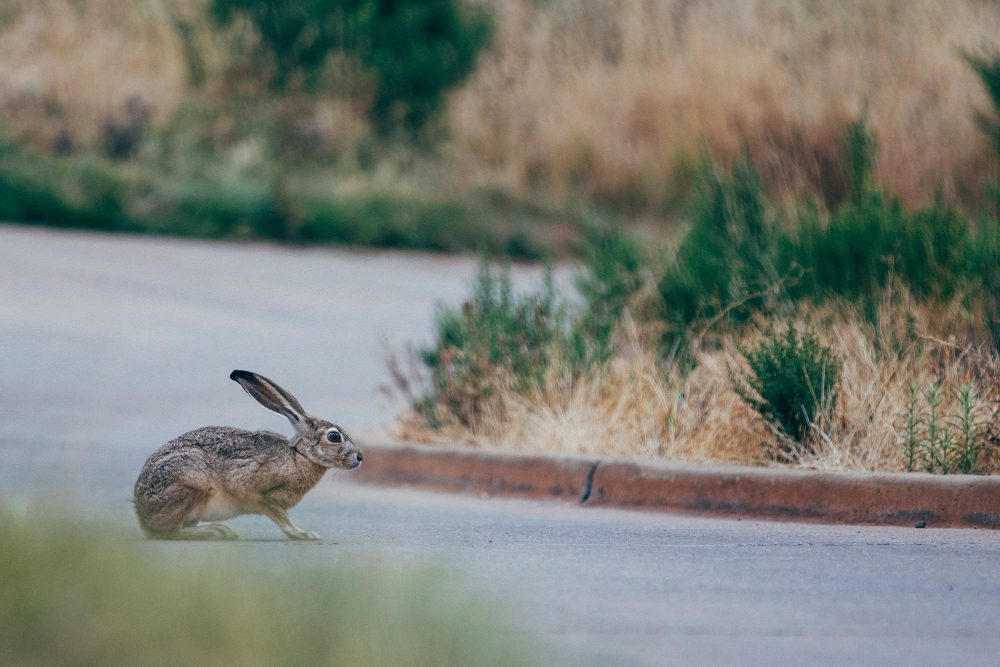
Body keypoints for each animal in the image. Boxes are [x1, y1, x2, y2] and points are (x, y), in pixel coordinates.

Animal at [133, 370, 363, 540]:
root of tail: (141, 512)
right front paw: (305, 534)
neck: (299, 455)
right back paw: (216, 531)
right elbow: (282, 518)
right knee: (168, 531)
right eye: (334, 437)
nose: (360, 457)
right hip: (190, 485)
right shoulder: (259, 493)